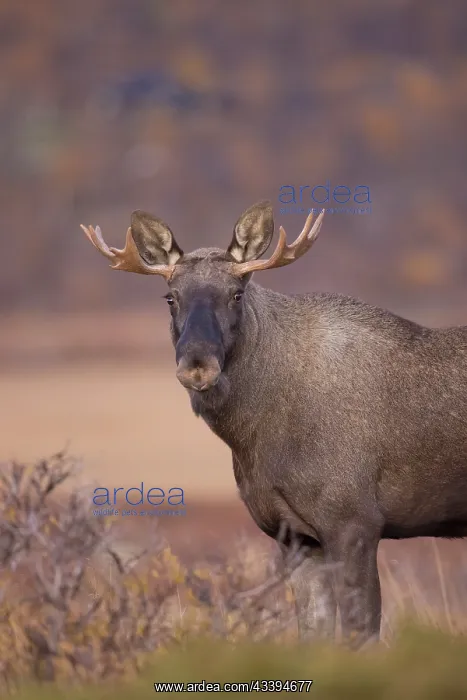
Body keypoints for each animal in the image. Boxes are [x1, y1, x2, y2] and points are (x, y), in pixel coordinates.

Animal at [81, 201, 467, 649]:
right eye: (170, 298)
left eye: (237, 292)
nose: (197, 365)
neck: (257, 441)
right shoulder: (296, 538)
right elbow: (313, 637)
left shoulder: (355, 523)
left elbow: (360, 636)